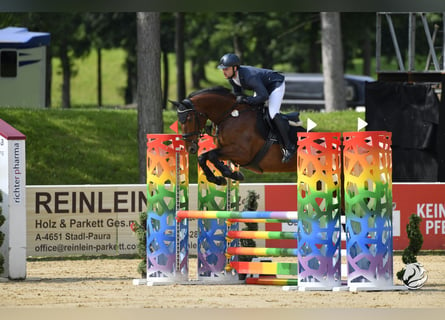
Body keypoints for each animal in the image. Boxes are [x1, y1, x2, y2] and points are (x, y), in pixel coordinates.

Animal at [170, 86, 306, 186]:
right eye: (179, 120)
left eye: (189, 119)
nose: (190, 148)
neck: (230, 115)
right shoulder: (226, 150)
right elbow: (203, 157)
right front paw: (218, 179)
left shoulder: (242, 153)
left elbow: (211, 155)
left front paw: (230, 173)